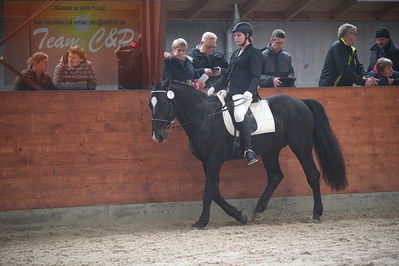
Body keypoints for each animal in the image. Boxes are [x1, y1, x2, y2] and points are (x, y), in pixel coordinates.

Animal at [148, 78, 348, 229]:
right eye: (150, 105)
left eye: (164, 103)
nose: (158, 136)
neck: (205, 117)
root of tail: (301, 102)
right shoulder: (207, 161)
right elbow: (215, 191)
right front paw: (239, 215)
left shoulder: (214, 160)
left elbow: (208, 191)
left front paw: (201, 221)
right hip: (270, 151)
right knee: (276, 176)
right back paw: (258, 211)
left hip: (301, 146)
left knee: (312, 175)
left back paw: (316, 213)